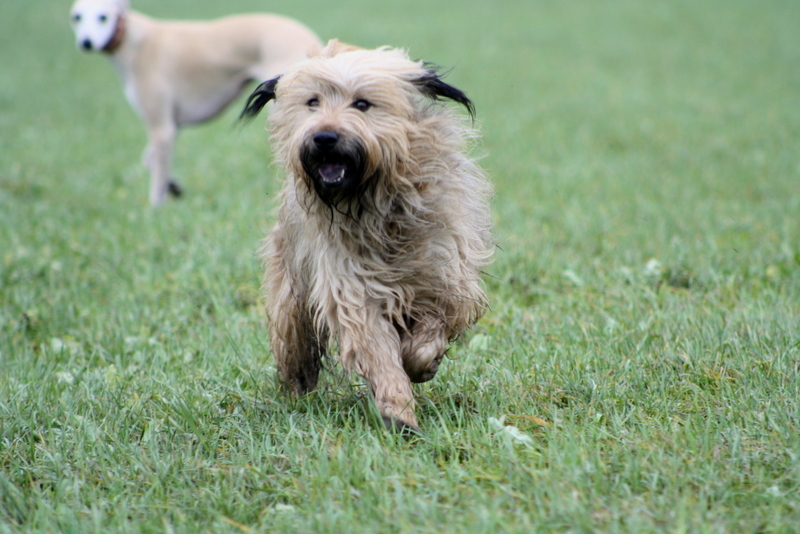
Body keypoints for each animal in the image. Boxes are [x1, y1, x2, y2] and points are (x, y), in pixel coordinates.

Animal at [69, 0, 322, 206]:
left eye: (103, 17)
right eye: (76, 17)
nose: (86, 43)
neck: (134, 39)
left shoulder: (162, 128)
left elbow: (156, 177)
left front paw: (156, 207)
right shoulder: (172, 127)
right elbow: (149, 159)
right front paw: (173, 186)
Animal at [240, 41, 494, 433]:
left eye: (361, 104)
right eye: (312, 102)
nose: (324, 138)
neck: (378, 209)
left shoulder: (445, 277)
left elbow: (430, 332)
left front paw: (421, 364)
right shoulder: (352, 288)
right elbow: (378, 351)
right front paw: (398, 412)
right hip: (292, 292)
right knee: (294, 345)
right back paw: (296, 392)